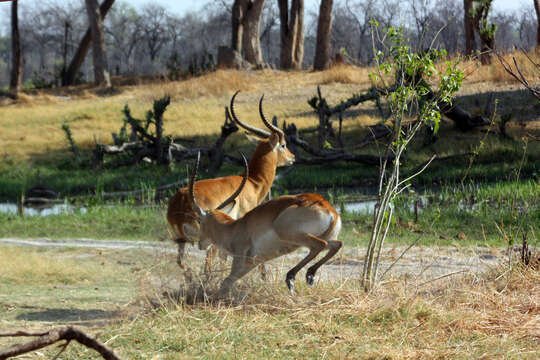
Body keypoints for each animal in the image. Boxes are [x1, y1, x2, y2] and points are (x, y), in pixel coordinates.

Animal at [169, 91, 296, 268]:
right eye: (283, 144)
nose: (293, 157)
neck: (252, 183)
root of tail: (178, 205)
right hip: (209, 240)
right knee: (208, 262)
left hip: (183, 241)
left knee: (182, 262)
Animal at [182, 153, 342, 294]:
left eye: (199, 220)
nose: (200, 244)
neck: (233, 229)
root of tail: (329, 209)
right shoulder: (252, 263)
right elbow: (228, 281)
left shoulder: (239, 259)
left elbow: (226, 282)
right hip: (322, 237)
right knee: (336, 245)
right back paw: (308, 276)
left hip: (289, 232)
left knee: (319, 245)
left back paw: (292, 278)